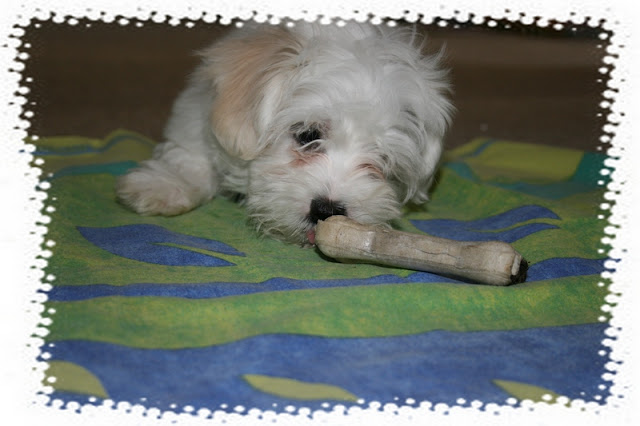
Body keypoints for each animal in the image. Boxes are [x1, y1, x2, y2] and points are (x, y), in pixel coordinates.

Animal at [116, 21, 453, 246]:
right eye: (307, 135)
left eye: (383, 159)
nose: (327, 210)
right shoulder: (196, 106)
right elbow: (192, 150)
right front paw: (166, 185)